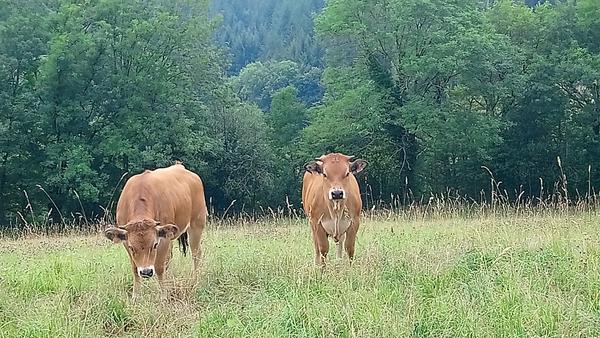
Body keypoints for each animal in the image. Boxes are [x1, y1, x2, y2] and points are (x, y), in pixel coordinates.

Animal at [103, 162, 206, 300]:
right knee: (169, 258)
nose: (146, 272)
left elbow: (159, 267)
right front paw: (136, 296)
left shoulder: (163, 240)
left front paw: (163, 296)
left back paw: (195, 281)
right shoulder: (125, 241)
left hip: (196, 225)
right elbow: (135, 268)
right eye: (131, 247)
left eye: (155, 245)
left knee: (196, 254)